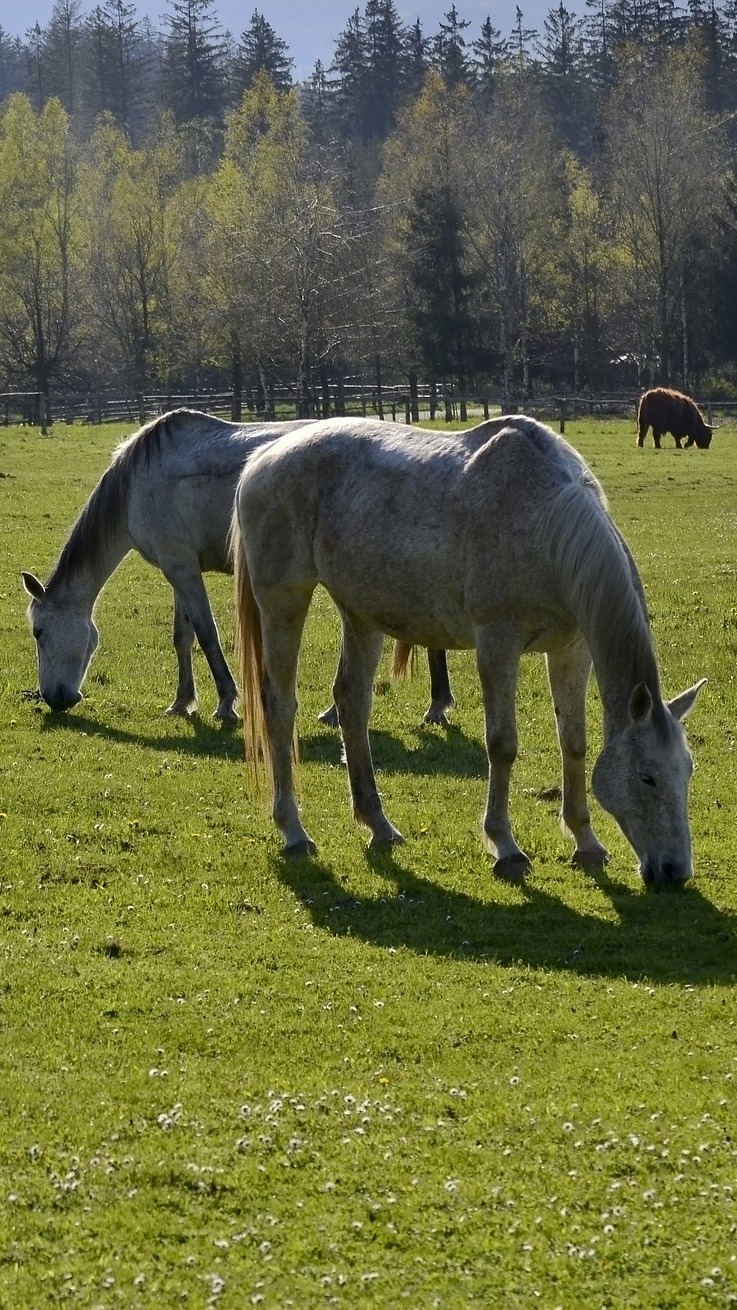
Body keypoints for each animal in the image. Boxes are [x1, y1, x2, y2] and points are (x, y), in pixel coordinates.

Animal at [21, 406, 455, 723]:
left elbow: (207, 633)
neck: (137, 483)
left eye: (39, 632)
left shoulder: (180, 567)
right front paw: (182, 702)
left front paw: (227, 702)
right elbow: (183, 637)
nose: (54, 698)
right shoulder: (179, 568)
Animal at [233, 413, 706, 885]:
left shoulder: (571, 650)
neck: (545, 522)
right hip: (284, 601)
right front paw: (506, 846)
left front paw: (586, 842)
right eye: (647, 778)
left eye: (687, 770)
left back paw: (379, 826)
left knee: (352, 704)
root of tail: (262, 458)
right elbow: (502, 744)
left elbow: (573, 742)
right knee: (280, 707)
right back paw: (294, 831)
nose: (675, 871)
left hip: (361, 615)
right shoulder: (497, 644)